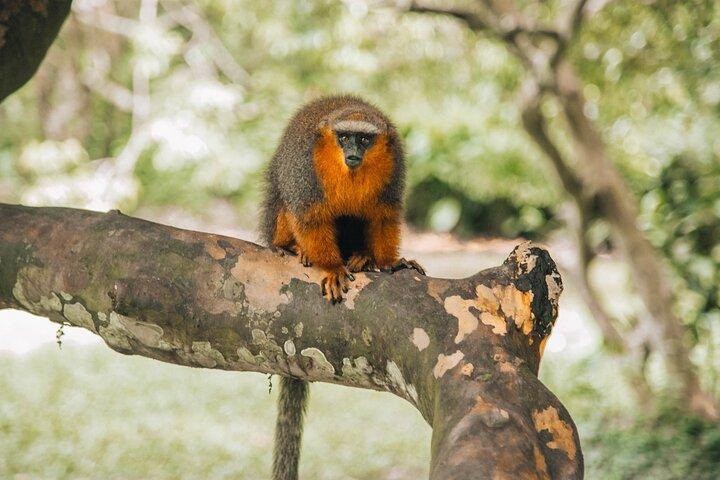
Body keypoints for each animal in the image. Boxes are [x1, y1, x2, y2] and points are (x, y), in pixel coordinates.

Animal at [259, 95, 424, 480]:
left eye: (363, 140)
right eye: (344, 138)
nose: (352, 153)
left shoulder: (394, 164)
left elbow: (384, 214)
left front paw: (389, 262)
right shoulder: (304, 167)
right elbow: (309, 213)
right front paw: (332, 267)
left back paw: (362, 257)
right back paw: (296, 249)